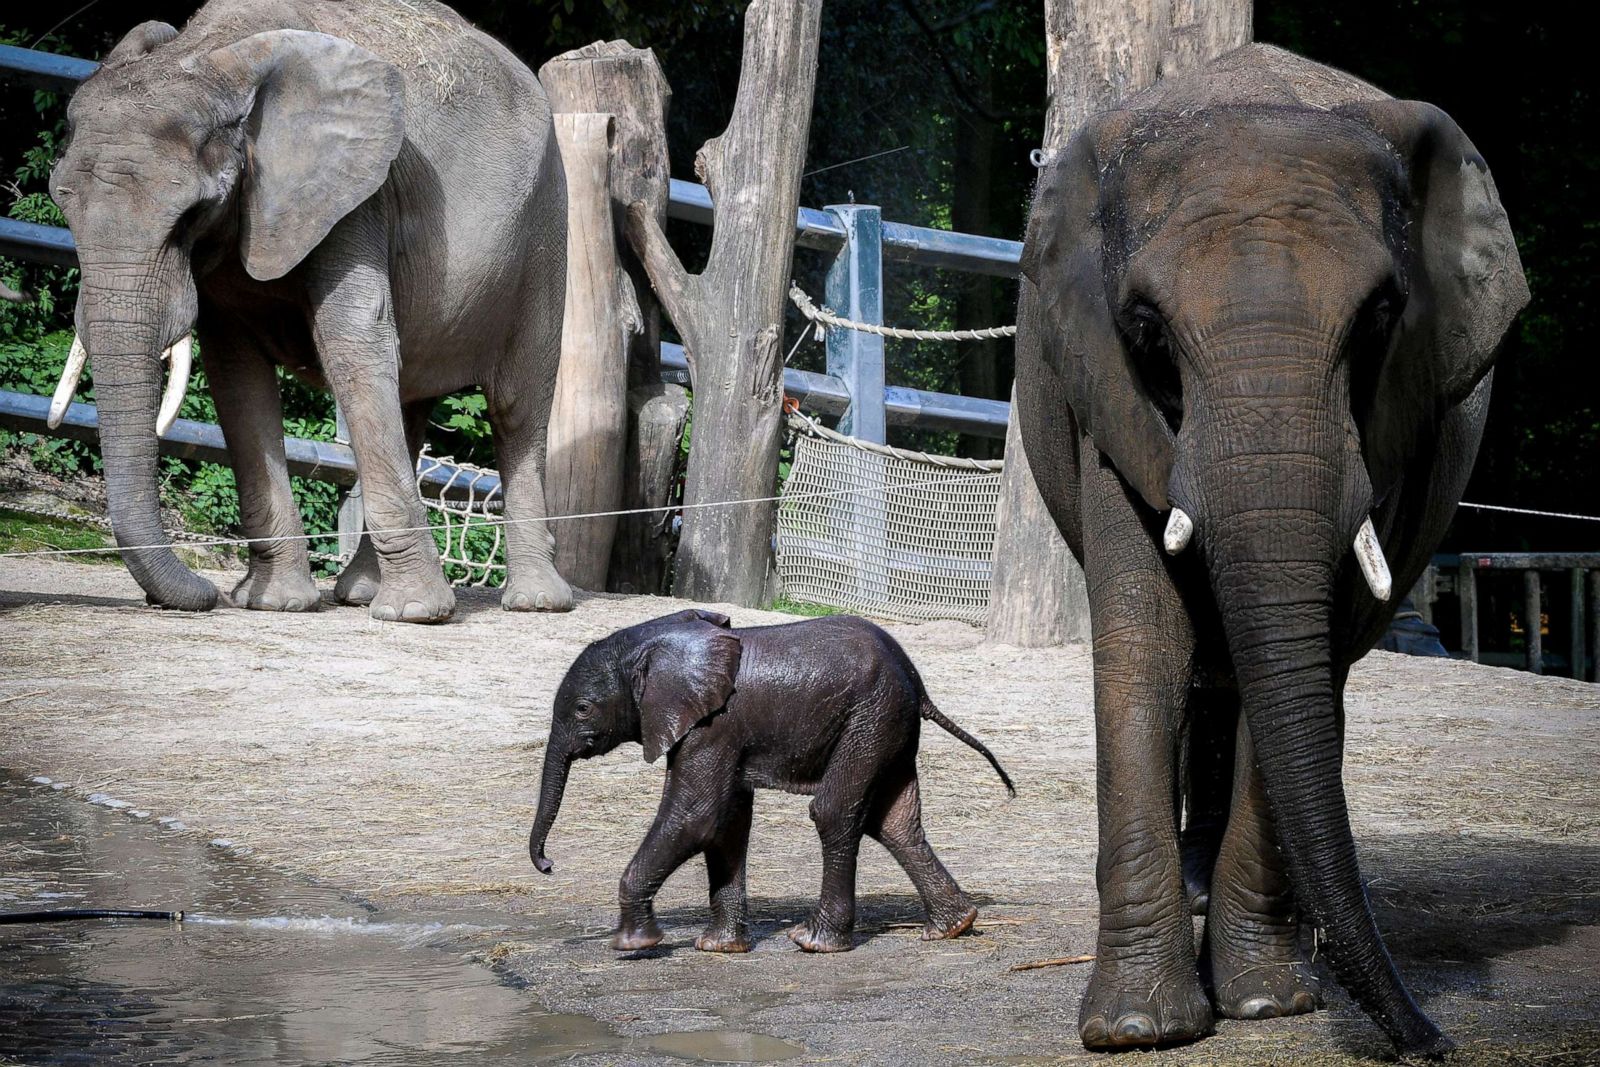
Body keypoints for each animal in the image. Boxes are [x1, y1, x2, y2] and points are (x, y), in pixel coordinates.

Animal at [48, 0, 576, 620]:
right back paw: (362, 593)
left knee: (517, 405)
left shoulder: (357, 194)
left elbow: (351, 338)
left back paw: (532, 603)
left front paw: (415, 616)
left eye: (191, 214)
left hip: (546, 225)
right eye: (62, 204)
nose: (200, 595)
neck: (208, 60)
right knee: (409, 398)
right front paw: (273, 605)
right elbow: (235, 372)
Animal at [531, 614, 1017, 953]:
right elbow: (726, 823)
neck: (657, 639)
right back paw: (953, 927)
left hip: (870, 718)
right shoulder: (715, 730)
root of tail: (918, 682)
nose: (549, 865)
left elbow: (696, 817)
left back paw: (814, 942)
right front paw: (718, 948)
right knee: (895, 823)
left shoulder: (713, 725)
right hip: (886, 725)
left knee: (833, 811)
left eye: (582, 709)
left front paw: (634, 945)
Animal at [1017, 43, 1529, 1062]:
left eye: (1378, 321)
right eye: (1147, 330)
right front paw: (1136, 1028)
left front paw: (1266, 1002)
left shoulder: (1395, 415)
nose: (1433, 1041)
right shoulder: (1106, 390)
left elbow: (1308, 648)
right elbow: (1145, 639)